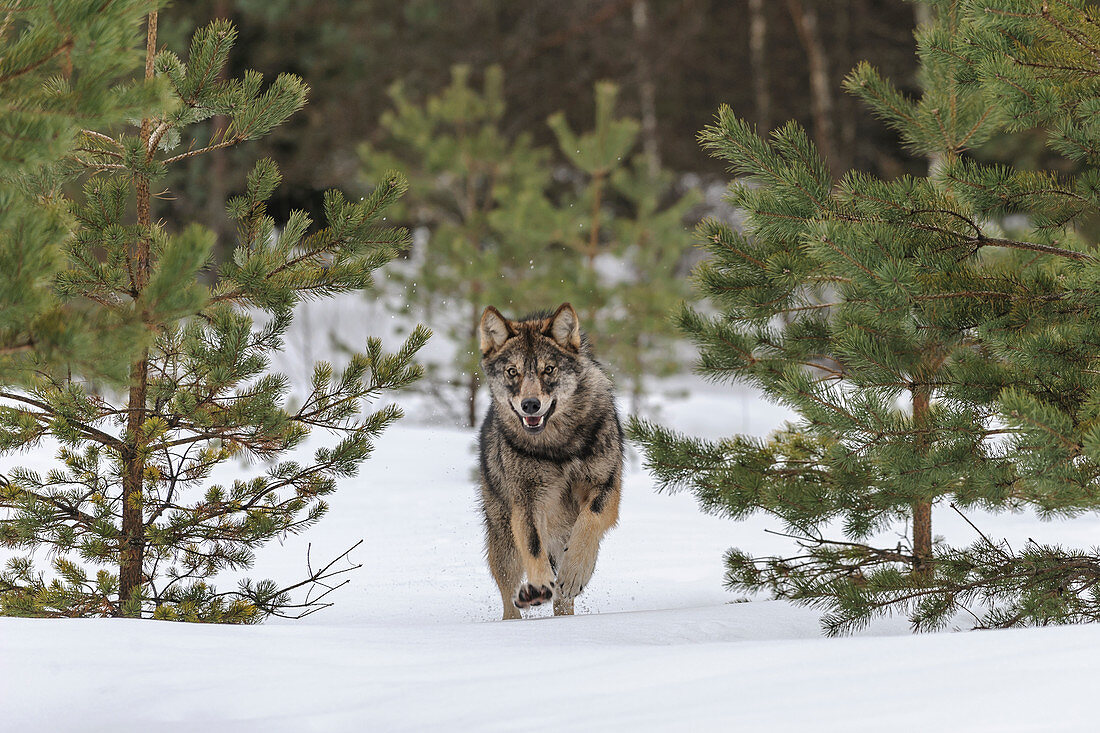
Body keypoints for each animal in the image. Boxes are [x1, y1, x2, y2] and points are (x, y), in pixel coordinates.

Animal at [477, 301, 624, 616]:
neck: (558, 446)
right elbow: (533, 545)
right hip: (505, 542)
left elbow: (590, 521)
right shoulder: (527, 502)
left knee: (564, 598)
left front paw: (574, 571)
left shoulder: (606, 486)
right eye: (512, 372)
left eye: (548, 369)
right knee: (509, 599)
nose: (530, 404)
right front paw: (539, 585)